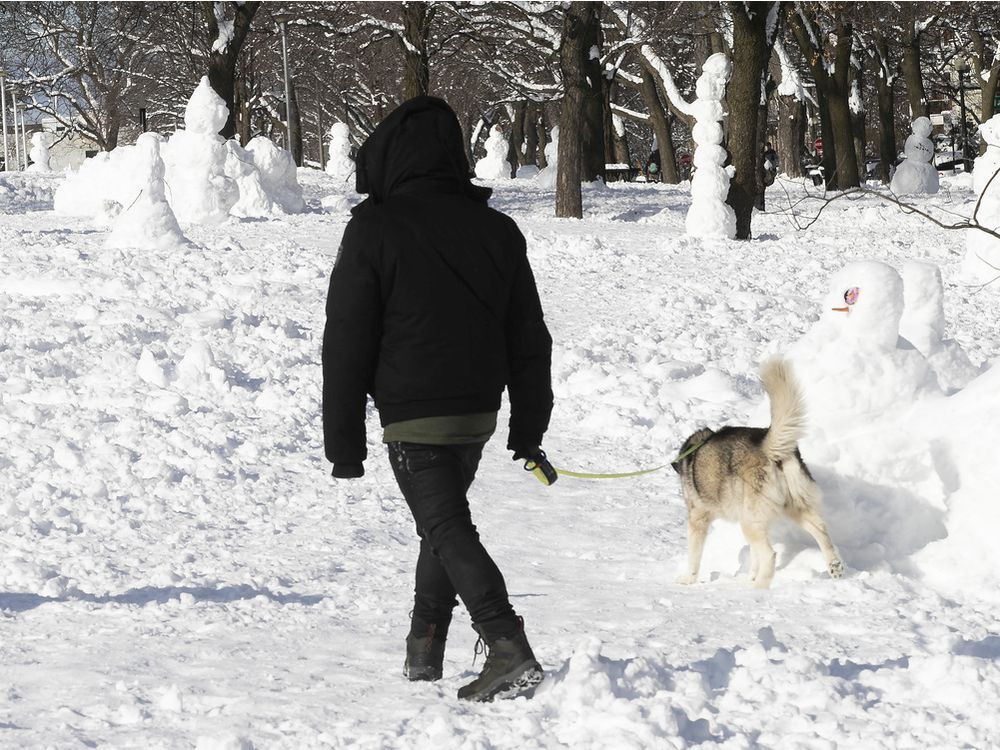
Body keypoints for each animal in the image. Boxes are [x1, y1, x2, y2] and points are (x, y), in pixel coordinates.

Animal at [672, 362, 844, 592]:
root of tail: (766, 447)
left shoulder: (697, 519)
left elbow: (694, 557)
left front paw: (687, 580)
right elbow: (754, 557)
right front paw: (751, 576)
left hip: (750, 521)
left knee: (770, 554)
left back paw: (760, 586)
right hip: (794, 509)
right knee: (821, 531)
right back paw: (834, 566)